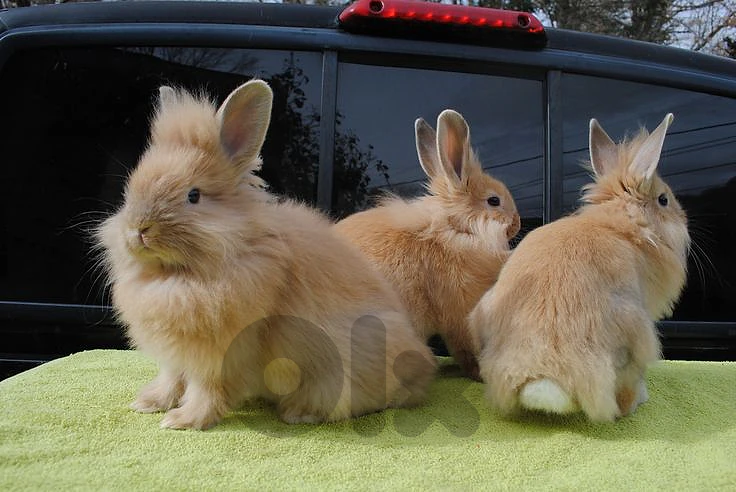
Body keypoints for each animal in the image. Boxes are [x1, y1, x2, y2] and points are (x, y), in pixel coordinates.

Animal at [95, 80, 436, 430]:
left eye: (194, 195)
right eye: (131, 187)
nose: (138, 229)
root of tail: (422, 363)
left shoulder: (222, 355)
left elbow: (207, 389)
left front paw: (183, 420)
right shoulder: (178, 355)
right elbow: (171, 377)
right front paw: (148, 403)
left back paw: (300, 412)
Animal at [333, 109, 520, 380]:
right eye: (494, 201)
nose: (517, 223)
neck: (455, 230)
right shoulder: (460, 311)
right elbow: (466, 346)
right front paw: (479, 373)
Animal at [469, 113, 690, 422]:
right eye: (664, 200)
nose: (684, 217)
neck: (623, 227)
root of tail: (539, 373)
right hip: (636, 333)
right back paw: (637, 401)